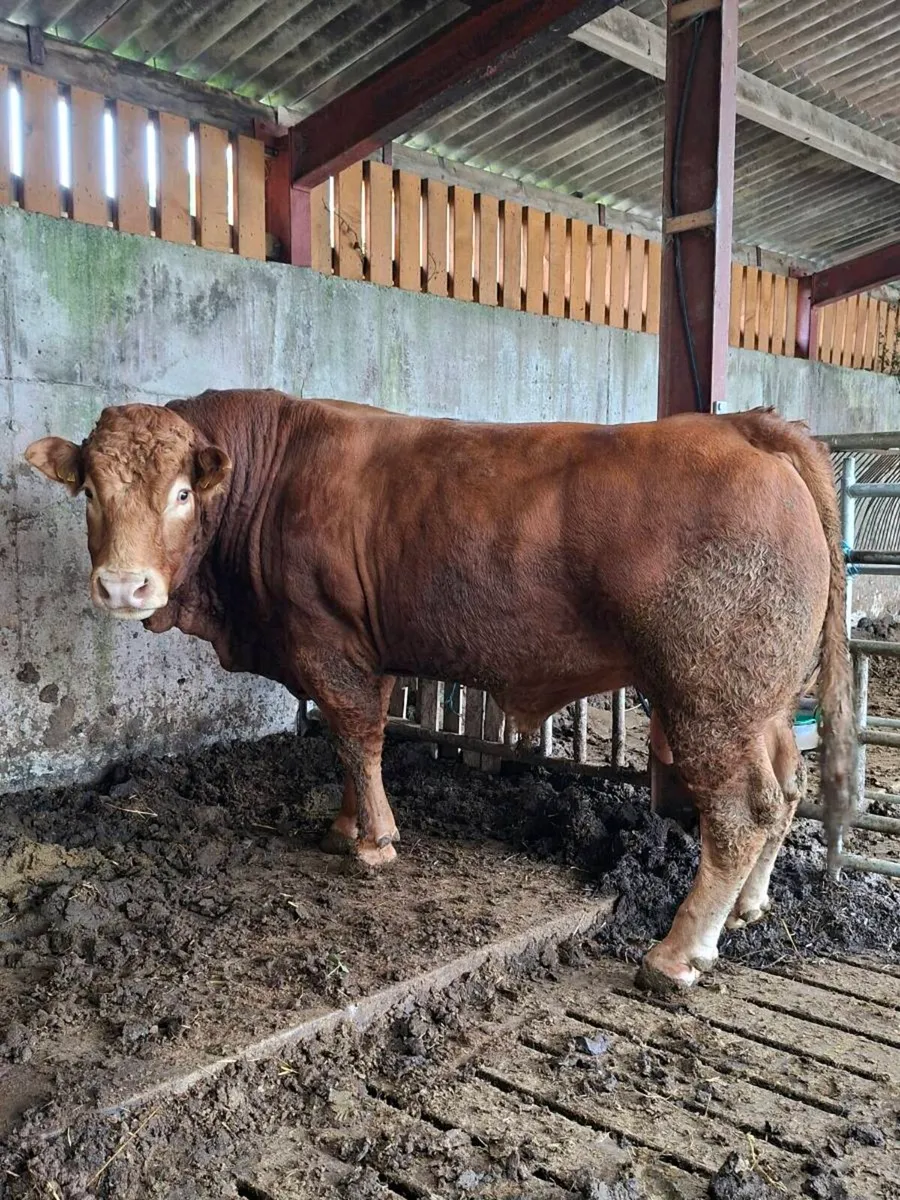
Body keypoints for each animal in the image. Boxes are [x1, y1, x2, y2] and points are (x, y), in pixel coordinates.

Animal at [25, 392, 853, 992]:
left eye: (181, 494)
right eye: (89, 491)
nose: (123, 585)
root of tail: (748, 429)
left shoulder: (328, 644)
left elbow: (356, 736)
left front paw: (374, 843)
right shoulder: (365, 650)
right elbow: (348, 747)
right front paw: (344, 825)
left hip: (706, 696)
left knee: (742, 813)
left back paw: (678, 954)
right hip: (761, 701)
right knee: (786, 789)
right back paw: (748, 908)